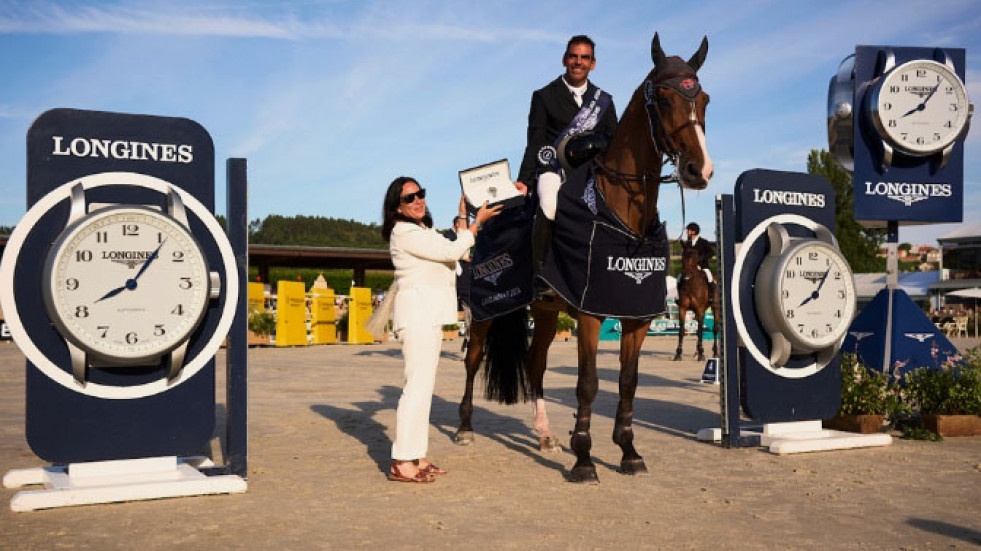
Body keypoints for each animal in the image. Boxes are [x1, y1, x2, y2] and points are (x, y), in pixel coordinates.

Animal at [452, 34, 712, 484]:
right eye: (663, 99)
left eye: (704, 100)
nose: (700, 170)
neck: (621, 213)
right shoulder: (590, 312)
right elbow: (588, 382)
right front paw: (584, 459)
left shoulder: (636, 315)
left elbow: (627, 381)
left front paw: (627, 450)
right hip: (485, 310)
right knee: (473, 360)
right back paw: (466, 428)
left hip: (545, 311)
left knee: (535, 365)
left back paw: (544, 435)